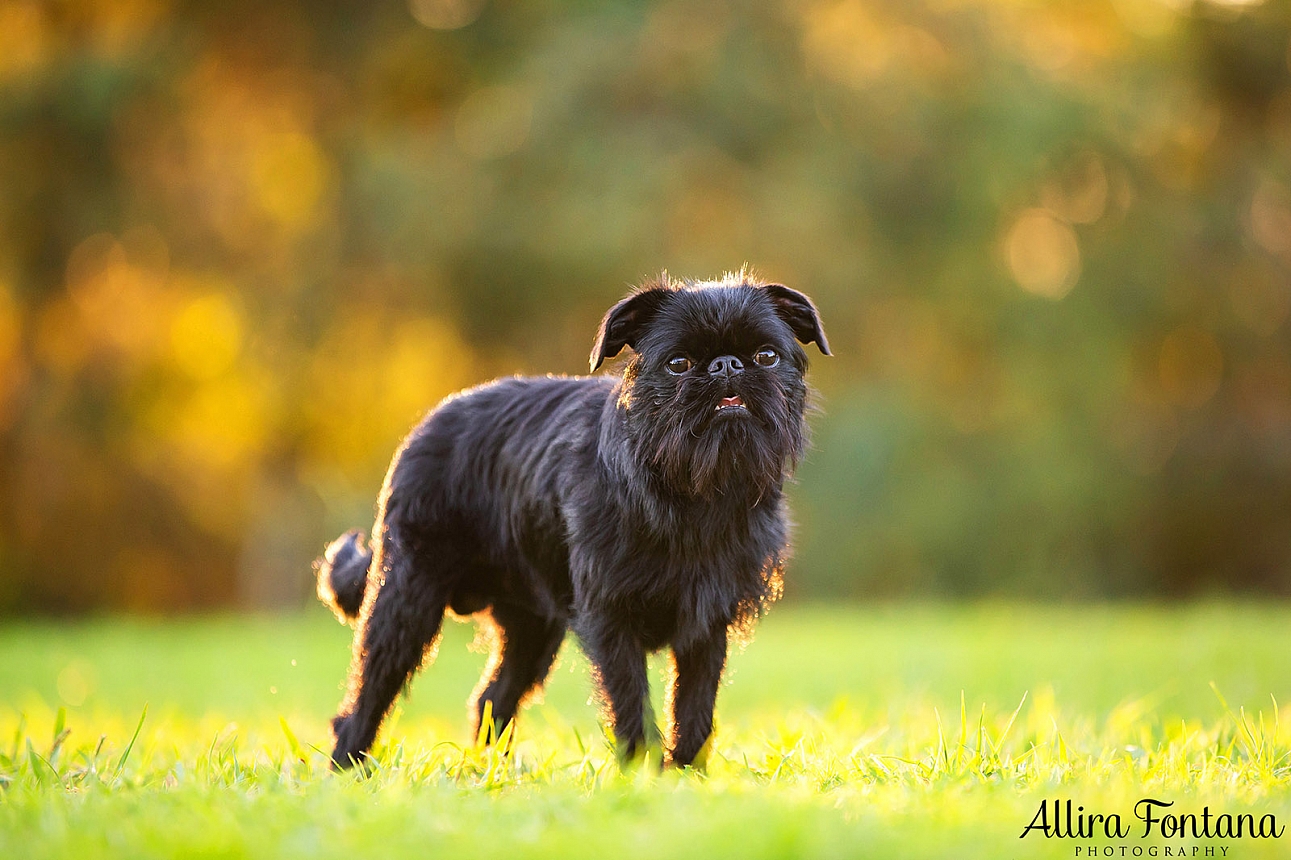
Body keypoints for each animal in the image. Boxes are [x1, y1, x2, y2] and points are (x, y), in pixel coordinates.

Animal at [317, 271, 831, 764]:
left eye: (766, 356)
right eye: (679, 364)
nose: (727, 364)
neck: (695, 494)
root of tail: (424, 428)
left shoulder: (706, 626)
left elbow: (694, 712)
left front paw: (684, 773)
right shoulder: (611, 620)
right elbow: (631, 704)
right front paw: (641, 772)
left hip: (532, 625)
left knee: (493, 697)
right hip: (407, 598)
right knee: (369, 694)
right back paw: (348, 767)